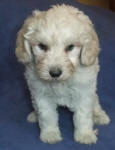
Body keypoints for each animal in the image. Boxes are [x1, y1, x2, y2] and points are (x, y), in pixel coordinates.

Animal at [15, 4, 109, 144]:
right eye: (42, 46)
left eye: (70, 47)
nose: (55, 73)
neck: (61, 82)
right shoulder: (40, 93)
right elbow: (47, 115)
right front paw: (50, 134)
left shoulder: (84, 91)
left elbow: (83, 115)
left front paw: (85, 134)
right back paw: (34, 115)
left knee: (95, 102)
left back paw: (99, 115)